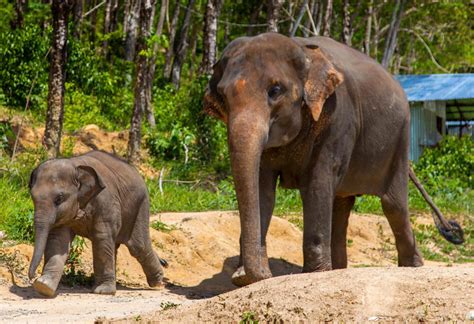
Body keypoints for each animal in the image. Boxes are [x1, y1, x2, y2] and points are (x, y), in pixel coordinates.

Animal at [28, 150, 165, 296]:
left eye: (59, 198)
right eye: (32, 197)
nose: (32, 277)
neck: (75, 166)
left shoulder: (106, 201)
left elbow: (101, 238)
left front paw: (103, 292)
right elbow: (58, 240)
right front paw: (44, 286)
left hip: (140, 206)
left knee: (138, 246)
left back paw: (158, 283)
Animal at [204, 33, 462, 286]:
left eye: (275, 90)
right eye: (223, 96)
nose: (256, 275)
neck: (303, 50)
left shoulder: (339, 120)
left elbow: (317, 183)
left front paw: (312, 274)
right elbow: (262, 187)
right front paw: (247, 277)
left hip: (399, 141)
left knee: (393, 206)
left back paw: (412, 267)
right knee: (341, 205)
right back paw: (338, 269)